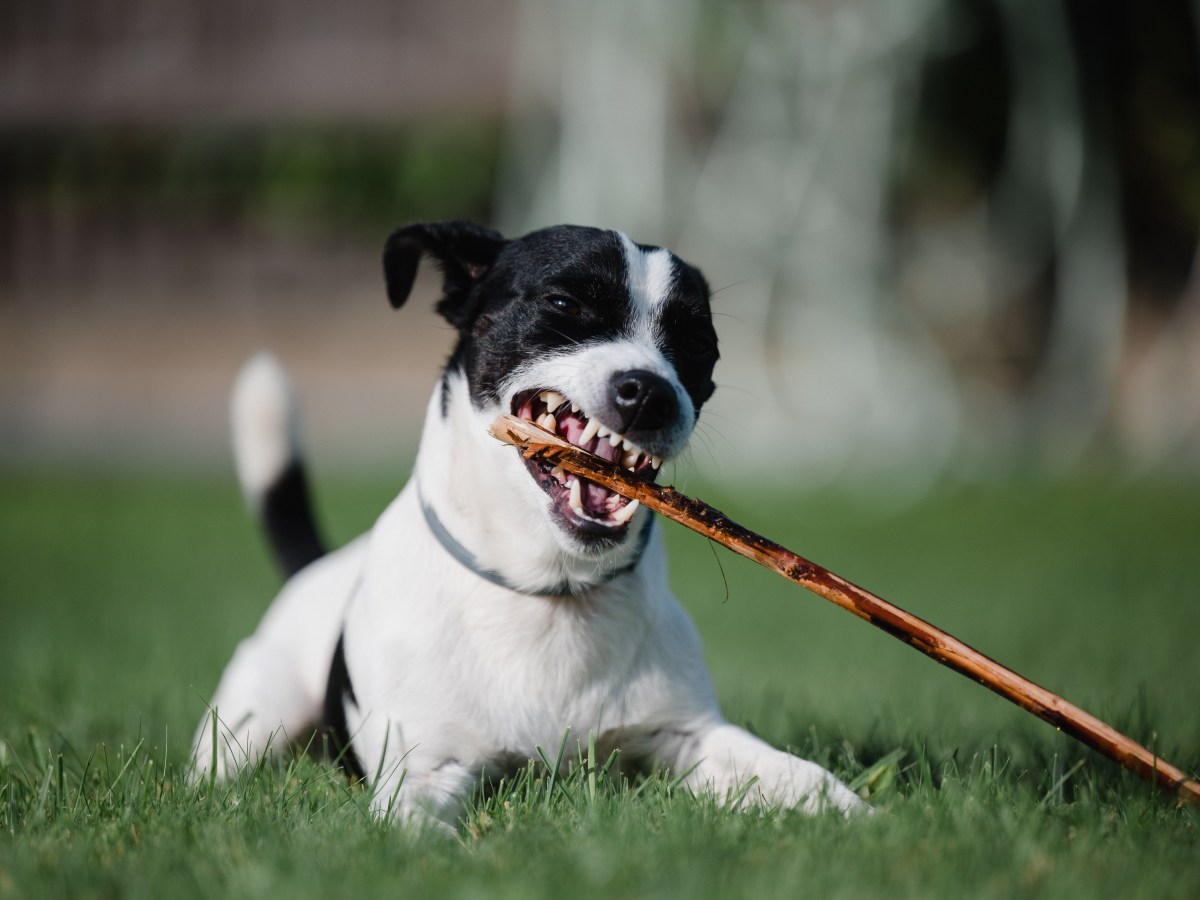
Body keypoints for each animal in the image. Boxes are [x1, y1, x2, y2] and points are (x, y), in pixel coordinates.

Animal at [192, 222, 864, 830]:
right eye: (563, 303)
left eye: (698, 340)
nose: (651, 393)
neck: (549, 590)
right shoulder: (424, 767)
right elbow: (414, 826)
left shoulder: (691, 735)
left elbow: (802, 777)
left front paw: (866, 823)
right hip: (254, 717)